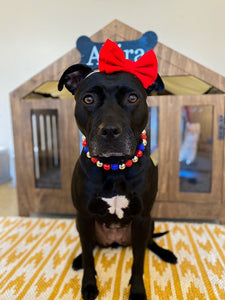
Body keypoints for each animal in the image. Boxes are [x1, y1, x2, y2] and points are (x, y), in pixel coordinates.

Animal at [58, 58, 178, 298]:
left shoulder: (142, 218)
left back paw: (167, 254)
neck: (114, 167)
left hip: (150, 222)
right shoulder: (84, 216)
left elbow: (139, 261)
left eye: (132, 98)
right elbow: (89, 256)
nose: (110, 130)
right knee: (88, 246)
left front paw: (138, 291)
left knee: (150, 243)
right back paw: (77, 260)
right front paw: (88, 285)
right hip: (82, 225)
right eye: (88, 99)